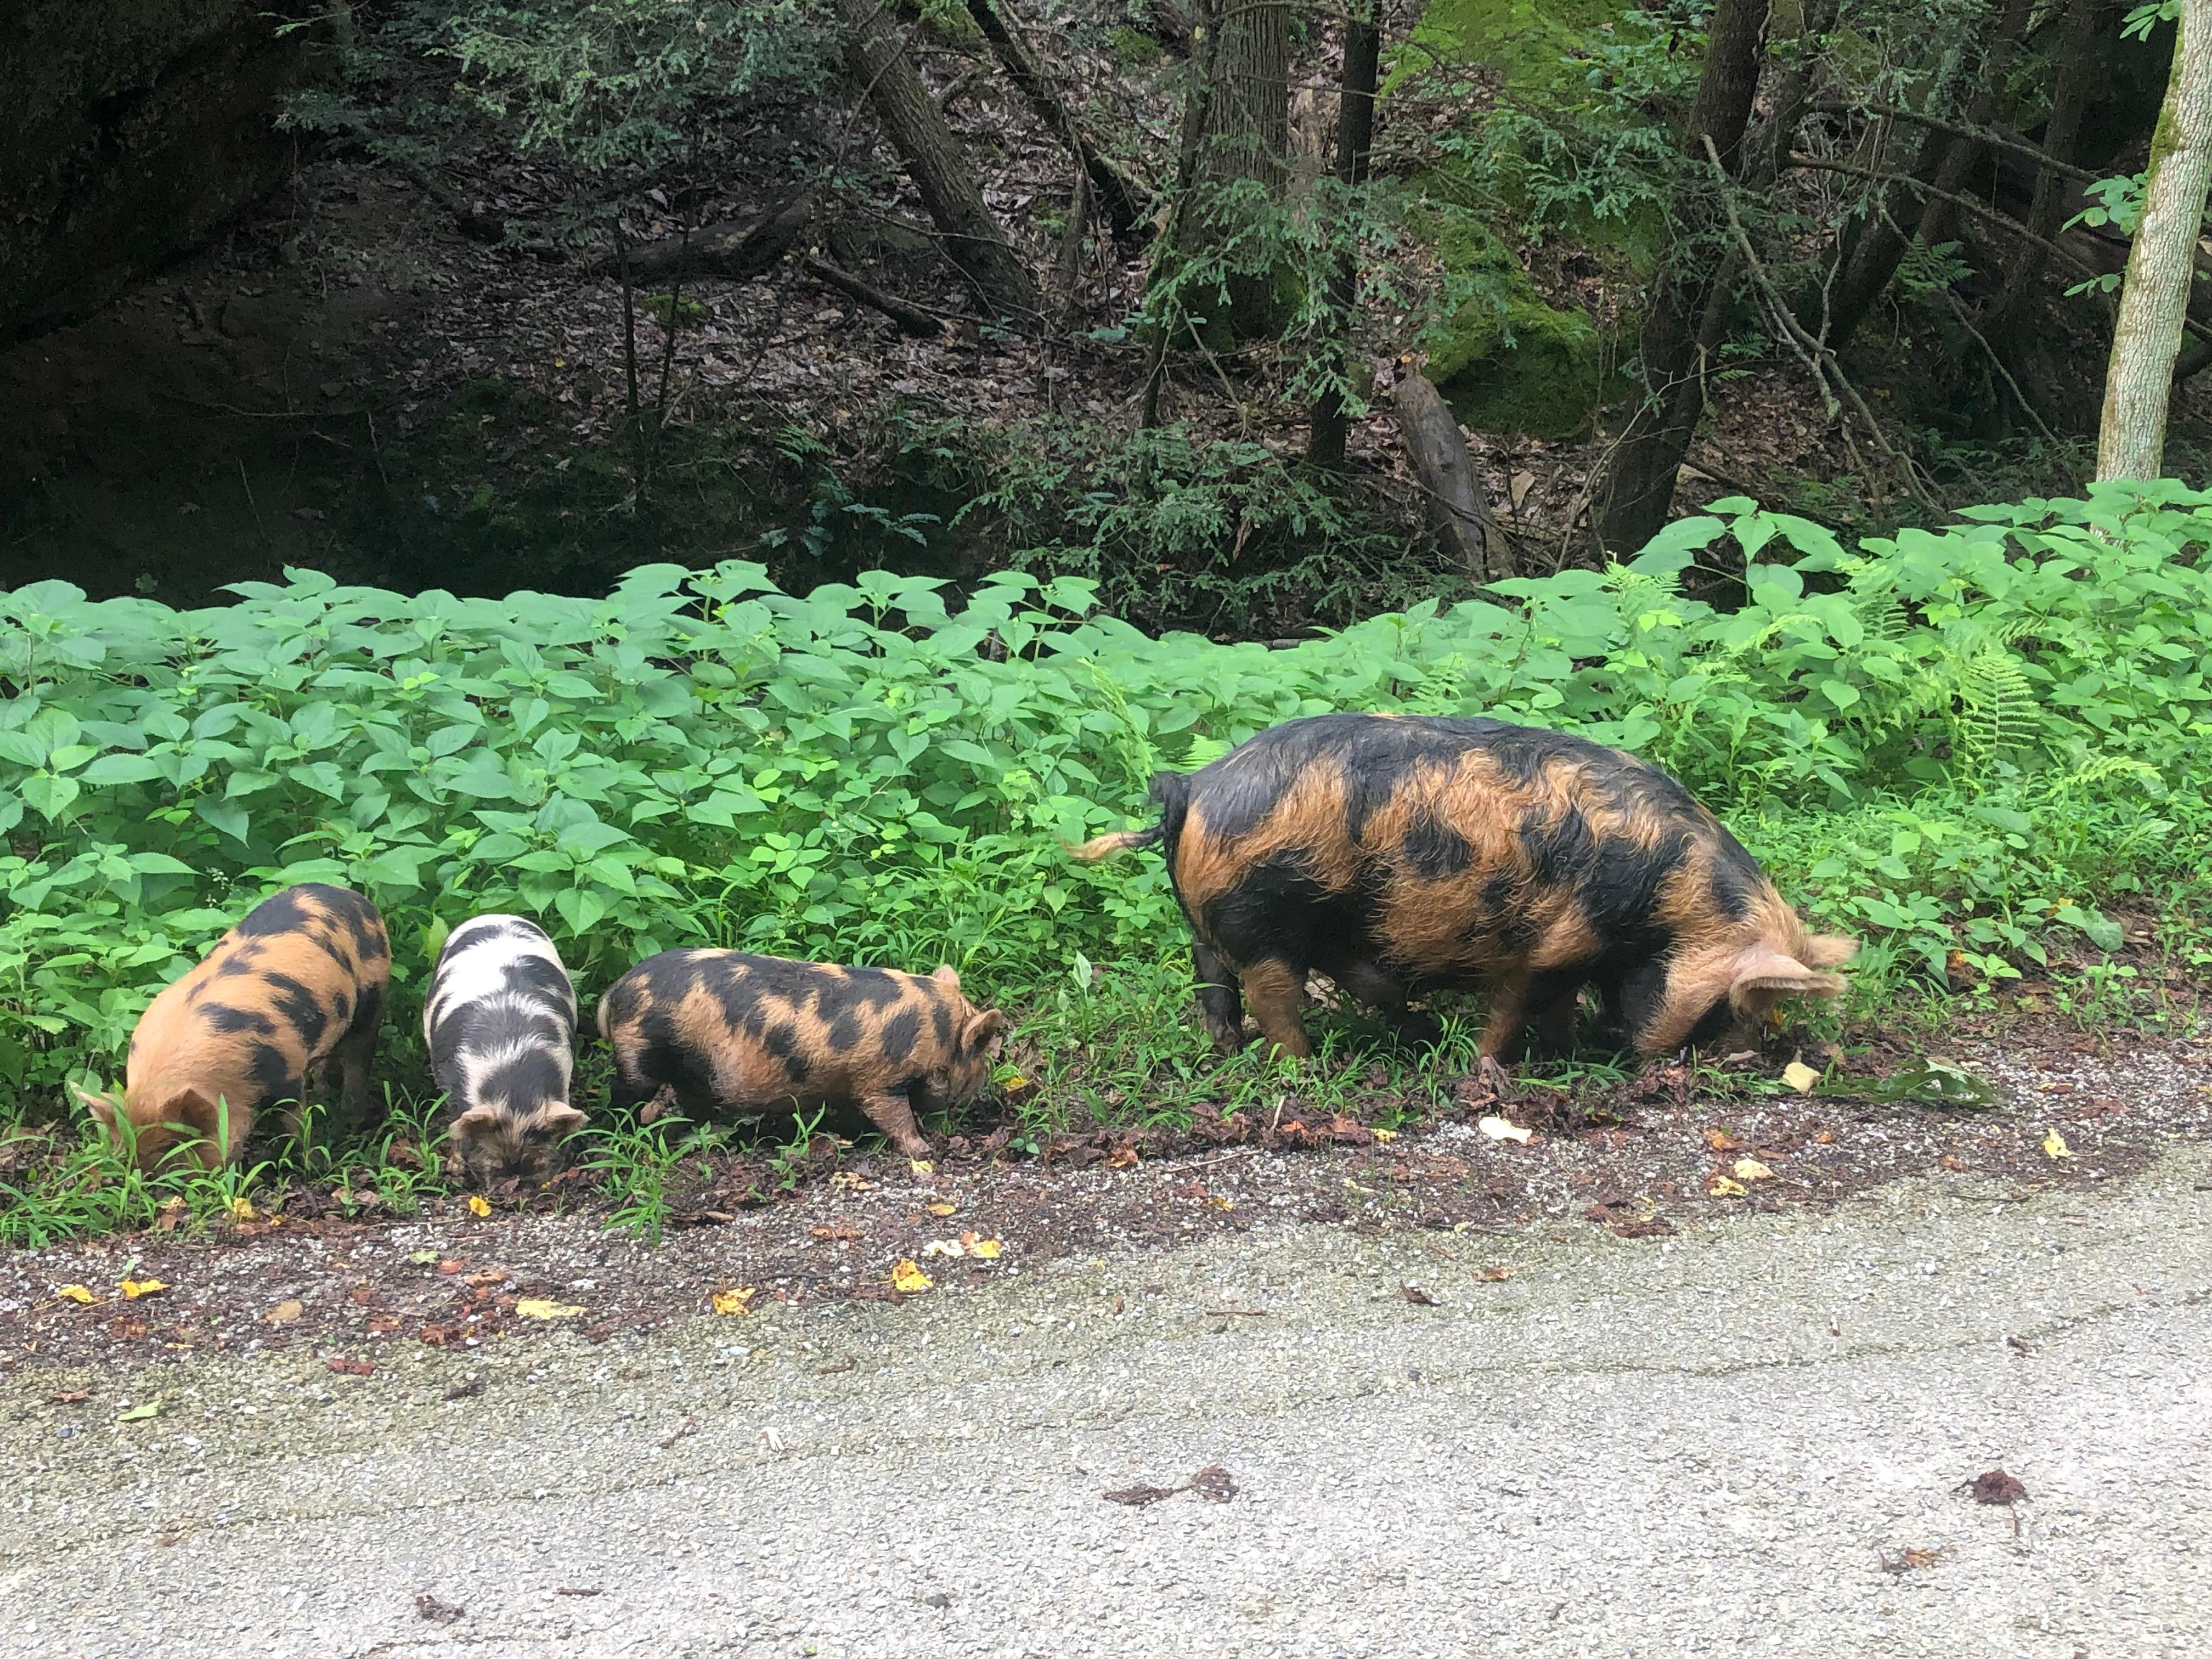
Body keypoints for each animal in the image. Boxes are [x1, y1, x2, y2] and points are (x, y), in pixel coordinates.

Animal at [73, 883, 390, 1169]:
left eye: (174, 1149)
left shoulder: (288, 1070)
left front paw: (308, 1164)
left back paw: (351, 1119)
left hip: (374, 994)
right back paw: (324, 1091)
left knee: (360, 1055)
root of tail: (351, 895)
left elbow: (293, 1121)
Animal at [595, 950, 1009, 1159]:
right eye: (981, 1056)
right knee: (626, 1092)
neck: (935, 1032)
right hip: (642, 1048)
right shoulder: (881, 1079)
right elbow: (895, 1115)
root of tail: (615, 991)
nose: (979, 1096)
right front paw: (923, 1151)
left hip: (692, 1066)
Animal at [1072, 713, 1855, 1074]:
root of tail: (1195, 788)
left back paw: (1227, 1049)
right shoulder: (1553, 944)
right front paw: (1487, 1067)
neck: (1668, 902)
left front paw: (1567, 1050)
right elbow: (1513, 1008)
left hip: (1215, 926)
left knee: (1212, 980)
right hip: (1265, 919)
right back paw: (1306, 1066)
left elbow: (1558, 1008)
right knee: (1272, 997)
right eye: (1734, 1004)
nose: (1744, 1059)